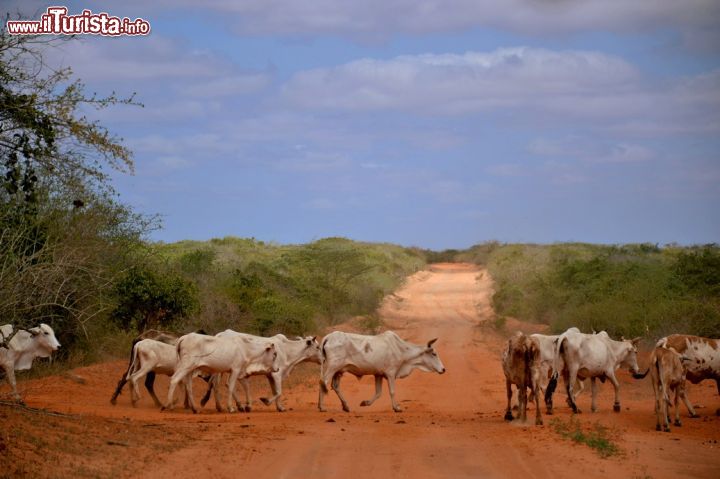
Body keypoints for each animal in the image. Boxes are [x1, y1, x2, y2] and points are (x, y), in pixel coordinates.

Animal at [316, 332, 444, 414]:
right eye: (434, 354)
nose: (443, 369)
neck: (401, 350)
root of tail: (328, 337)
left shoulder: (378, 374)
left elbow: (378, 393)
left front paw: (365, 403)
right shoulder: (391, 373)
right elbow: (392, 391)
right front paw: (396, 408)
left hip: (338, 370)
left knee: (334, 386)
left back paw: (345, 406)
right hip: (333, 367)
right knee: (324, 382)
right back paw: (322, 407)